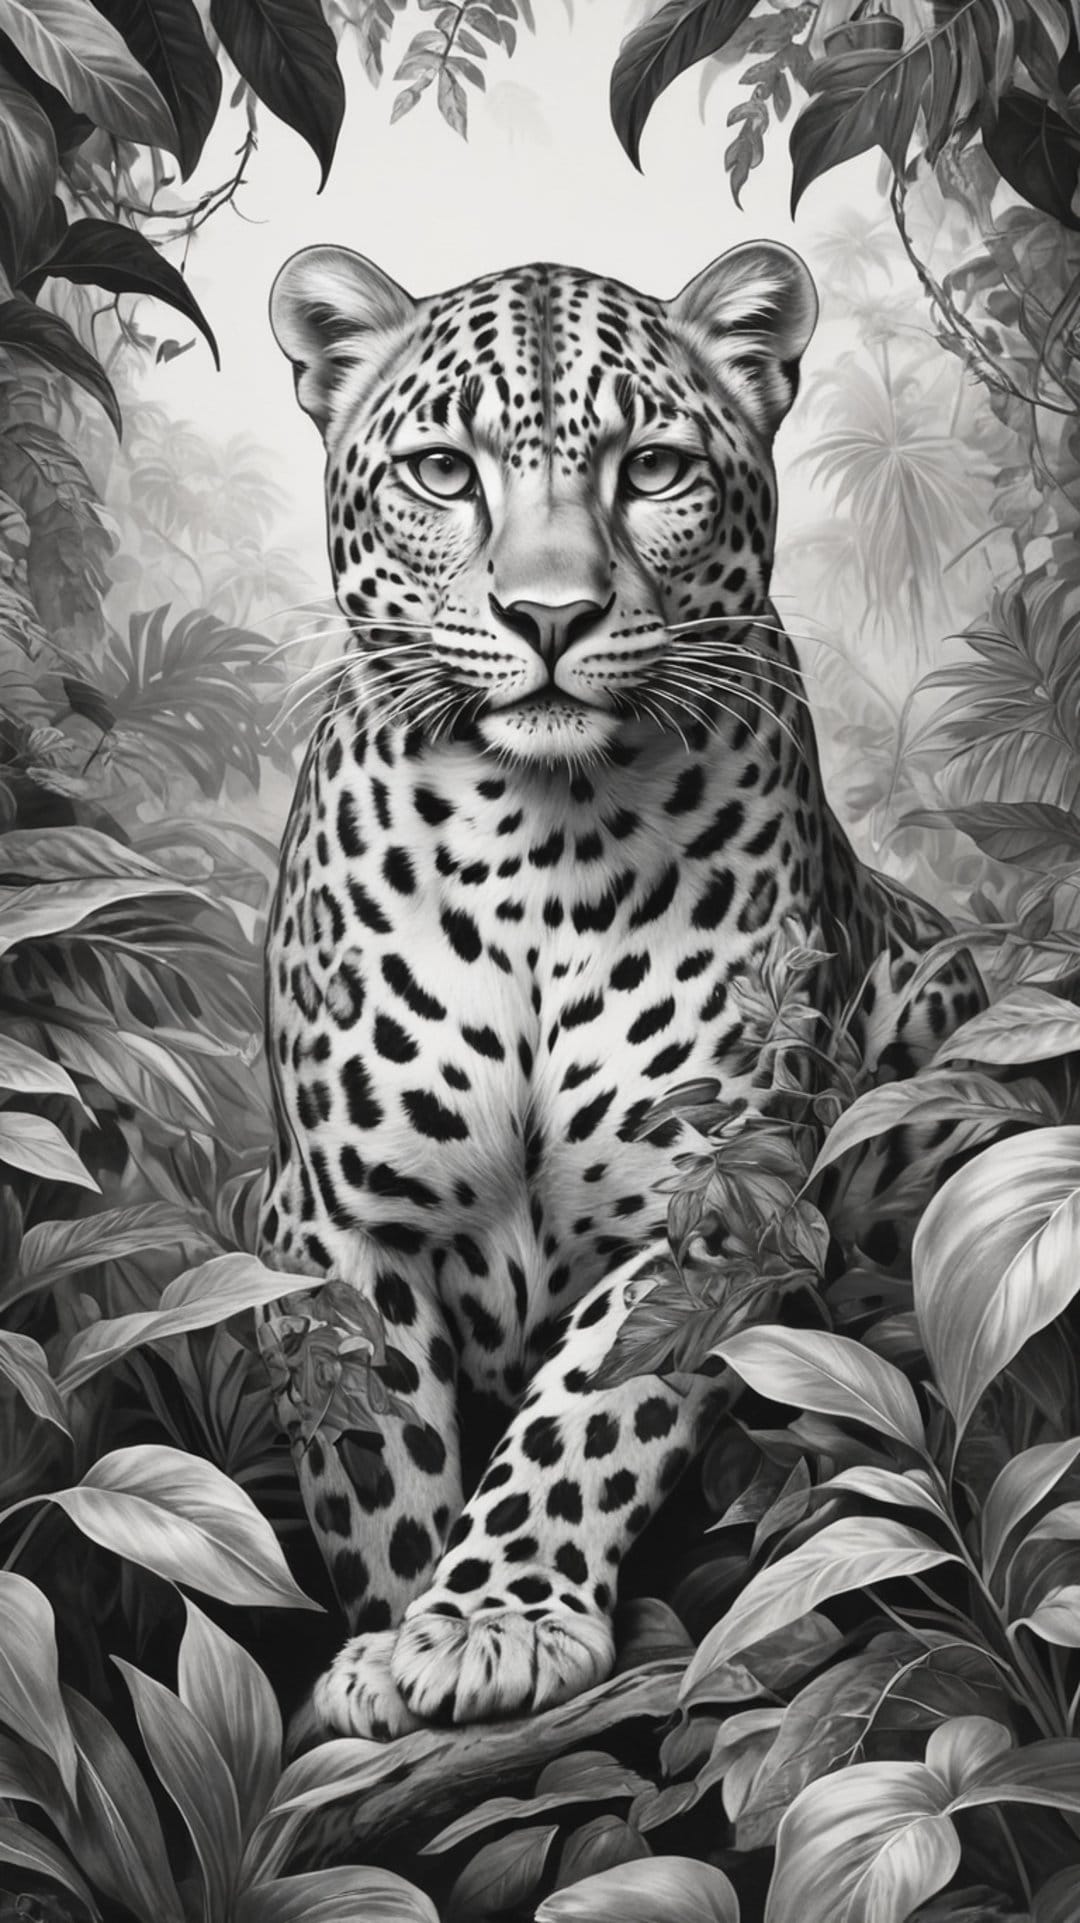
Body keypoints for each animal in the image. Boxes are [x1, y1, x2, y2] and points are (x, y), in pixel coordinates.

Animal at [258, 240, 983, 1745]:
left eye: (650, 469)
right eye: (444, 471)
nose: (550, 616)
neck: (538, 836)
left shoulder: (722, 1194)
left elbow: (589, 1411)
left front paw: (495, 1618)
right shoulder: (340, 1221)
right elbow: (380, 1452)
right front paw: (395, 1640)